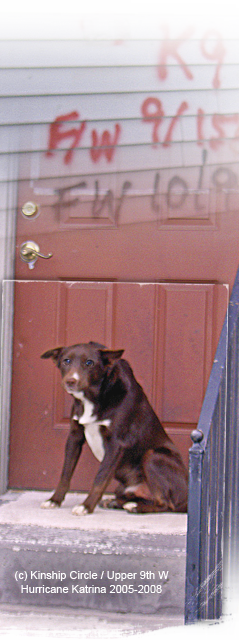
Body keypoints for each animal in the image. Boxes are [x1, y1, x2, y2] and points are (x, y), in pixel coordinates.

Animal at [40, 340, 187, 516]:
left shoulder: (116, 444)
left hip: (153, 456)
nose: (70, 381)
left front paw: (86, 506)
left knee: (166, 503)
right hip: (123, 487)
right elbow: (65, 474)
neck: (93, 397)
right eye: (66, 361)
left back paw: (135, 507)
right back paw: (115, 502)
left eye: (89, 363)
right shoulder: (74, 437)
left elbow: (100, 478)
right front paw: (54, 500)